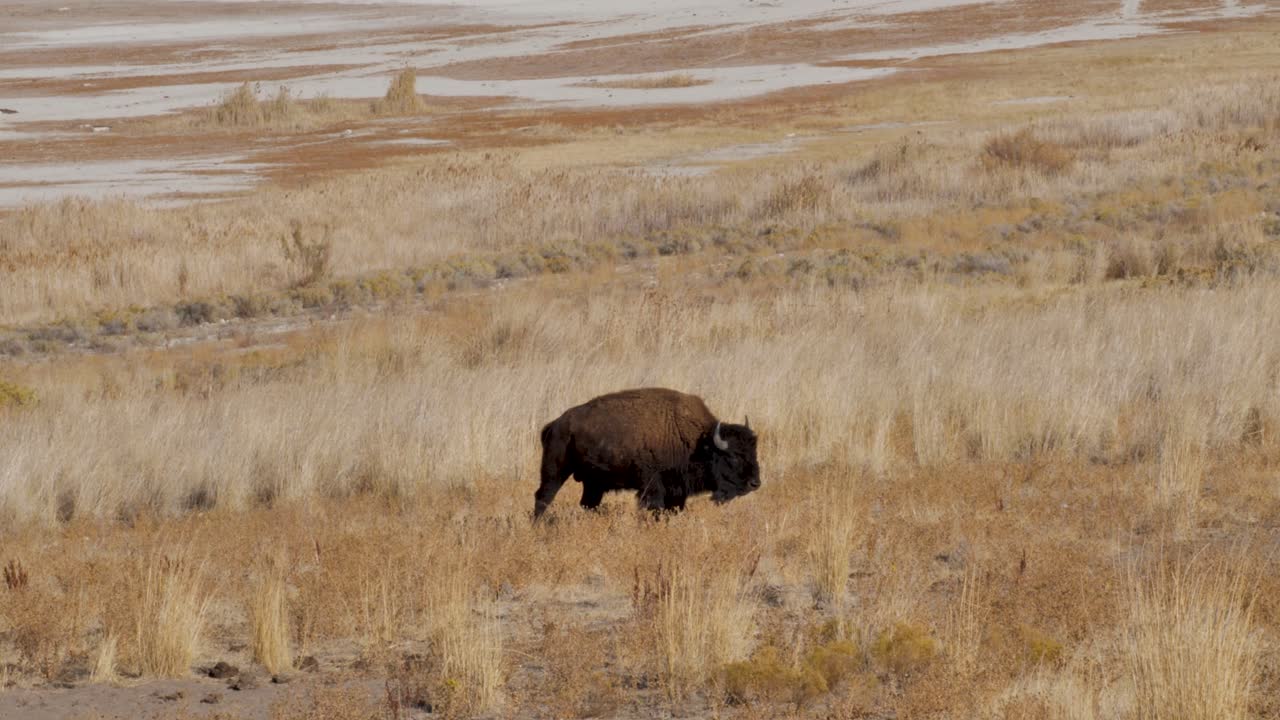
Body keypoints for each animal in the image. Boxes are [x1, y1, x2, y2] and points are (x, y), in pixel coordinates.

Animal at [533, 387, 760, 519]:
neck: (698, 442)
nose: (755, 483)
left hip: (593, 483)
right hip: (555, 471)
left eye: (753, 451)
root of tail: (555, 424)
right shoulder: (652, 488)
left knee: (587, 504)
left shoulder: (677, 492)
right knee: (544, 496)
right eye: (733, 456)